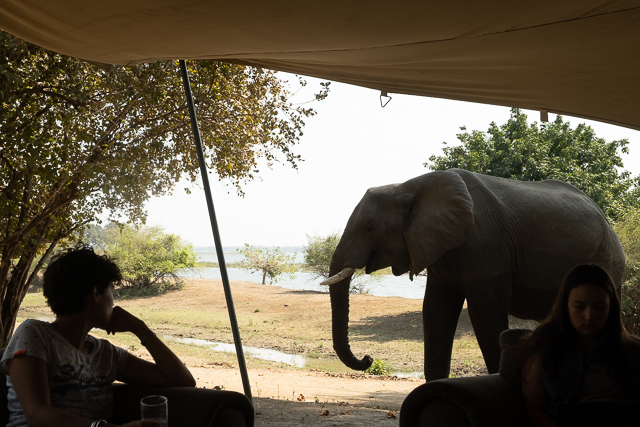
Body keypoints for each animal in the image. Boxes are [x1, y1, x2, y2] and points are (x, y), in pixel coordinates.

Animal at [322, 169, 624, 382]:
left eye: (369, 228)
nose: (368, 358)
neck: (409, 186)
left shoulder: (485, 246)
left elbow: (484, 314)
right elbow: (436, 310)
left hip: (606, 260)